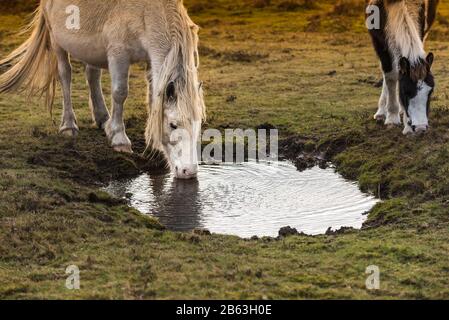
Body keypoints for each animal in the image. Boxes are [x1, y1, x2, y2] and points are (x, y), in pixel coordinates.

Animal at [0, 0, 206, 179]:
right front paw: (119, 139)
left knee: (92, 75)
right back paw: (69, 125)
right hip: (57, 39)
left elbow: (152, 97)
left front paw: (152, 141)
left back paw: (101, 118)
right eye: (173, 125)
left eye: (198, 125)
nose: (189, 171)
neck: (145, 12)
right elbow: (120, 92)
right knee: (65, 74)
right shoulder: (118, 54)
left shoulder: (150, 59)